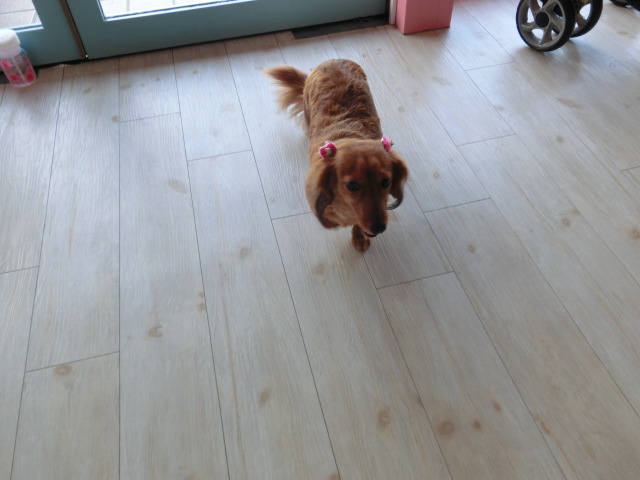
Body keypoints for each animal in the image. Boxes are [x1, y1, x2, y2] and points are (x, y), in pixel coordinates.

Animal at [265, 59, 408, 252]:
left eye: (386, 182)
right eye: (352, 185)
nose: (379, 228)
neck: (349, 136)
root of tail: (333, 60)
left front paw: (358, 235)